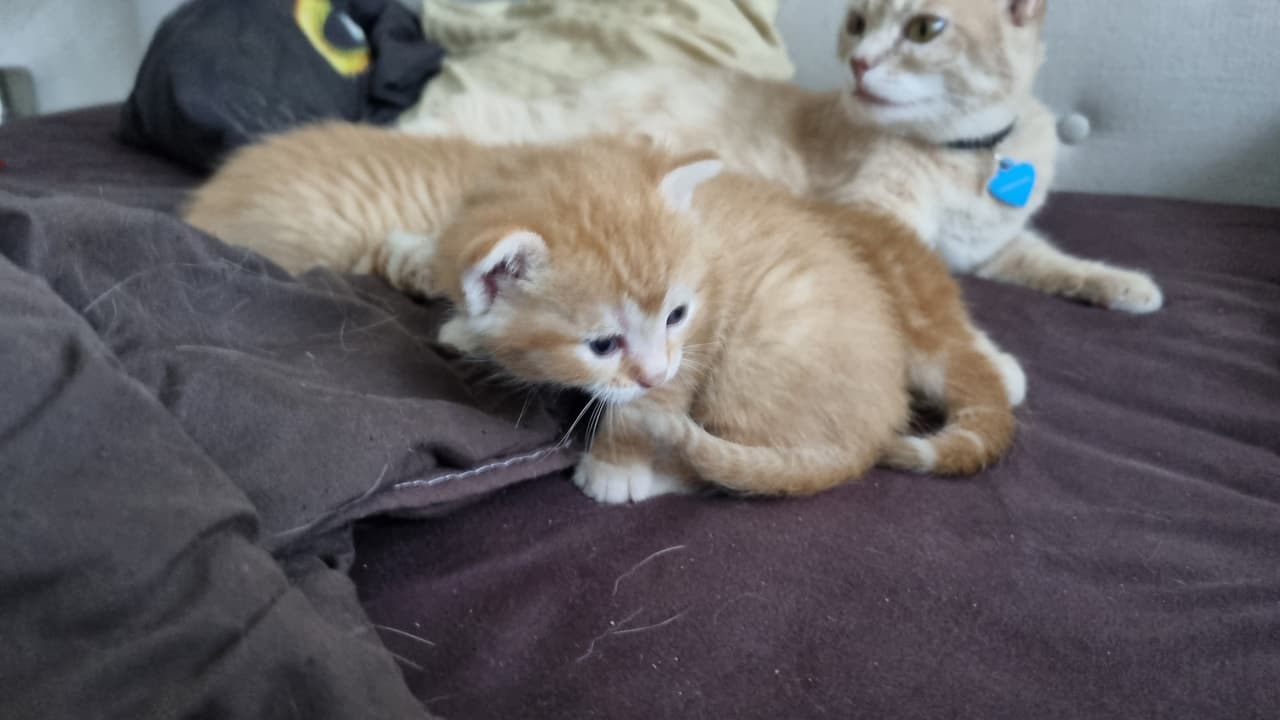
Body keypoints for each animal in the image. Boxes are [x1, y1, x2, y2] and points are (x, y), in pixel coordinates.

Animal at [184, 123, 1022, 503]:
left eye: (678, 314)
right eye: (602, 343)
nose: (650, 368)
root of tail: (873, 429)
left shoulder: (702, 338)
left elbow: (657, 408)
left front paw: (617, 462)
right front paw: (463, 325)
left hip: (762, 359)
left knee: (729, 463)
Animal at [401, 0, 1165, 315]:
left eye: (925, 28)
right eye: (857, 22)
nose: (858, 62)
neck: (966, 155)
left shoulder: (991, 246)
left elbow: (1048, 258)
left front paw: (1120, 283)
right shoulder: (874, 214)